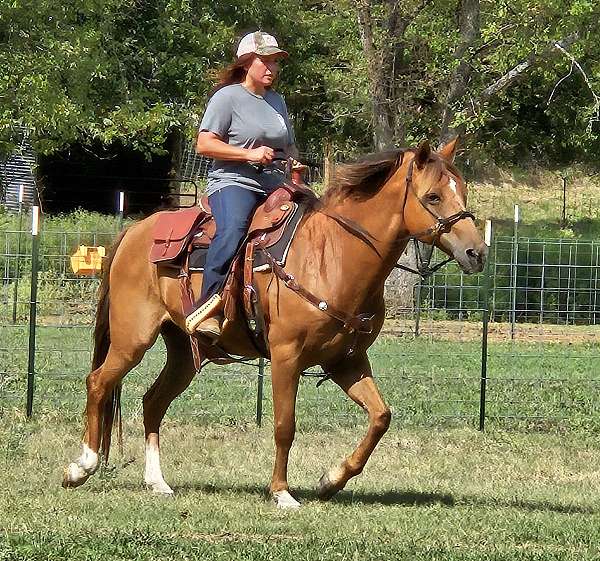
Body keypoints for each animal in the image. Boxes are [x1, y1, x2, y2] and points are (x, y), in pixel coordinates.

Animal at [62, 139, 488, 508]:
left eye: (463, 190)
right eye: (433, 196)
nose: (476, 252)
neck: (332, 255)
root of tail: (133, 231)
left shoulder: (346, 361)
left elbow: (380, 417)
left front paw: (331, 480)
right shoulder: (286, 357)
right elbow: (285, 425)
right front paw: (282, 492)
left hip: (183, 351)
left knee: (153, 401)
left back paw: (157, 482)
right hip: (132, 338)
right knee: (98, 383)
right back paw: (81, 467)